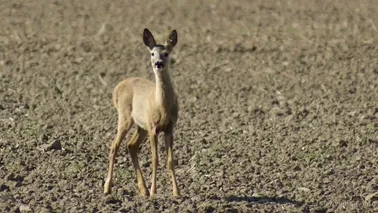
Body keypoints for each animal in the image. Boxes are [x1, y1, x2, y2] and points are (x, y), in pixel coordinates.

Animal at [103, 28, 180, 196]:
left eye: (166, 53)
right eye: (152, 53)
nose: (158, 63)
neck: (162, 107)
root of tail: (116, 88)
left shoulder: (169, 127)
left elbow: (170, 161)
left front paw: (177, 192)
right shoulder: (153, 127)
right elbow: (155, 159)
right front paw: (153, 192)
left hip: (141, 126)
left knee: (131, 145)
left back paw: (142, 188)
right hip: (125, 117)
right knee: (114, 146)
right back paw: (107, 187)